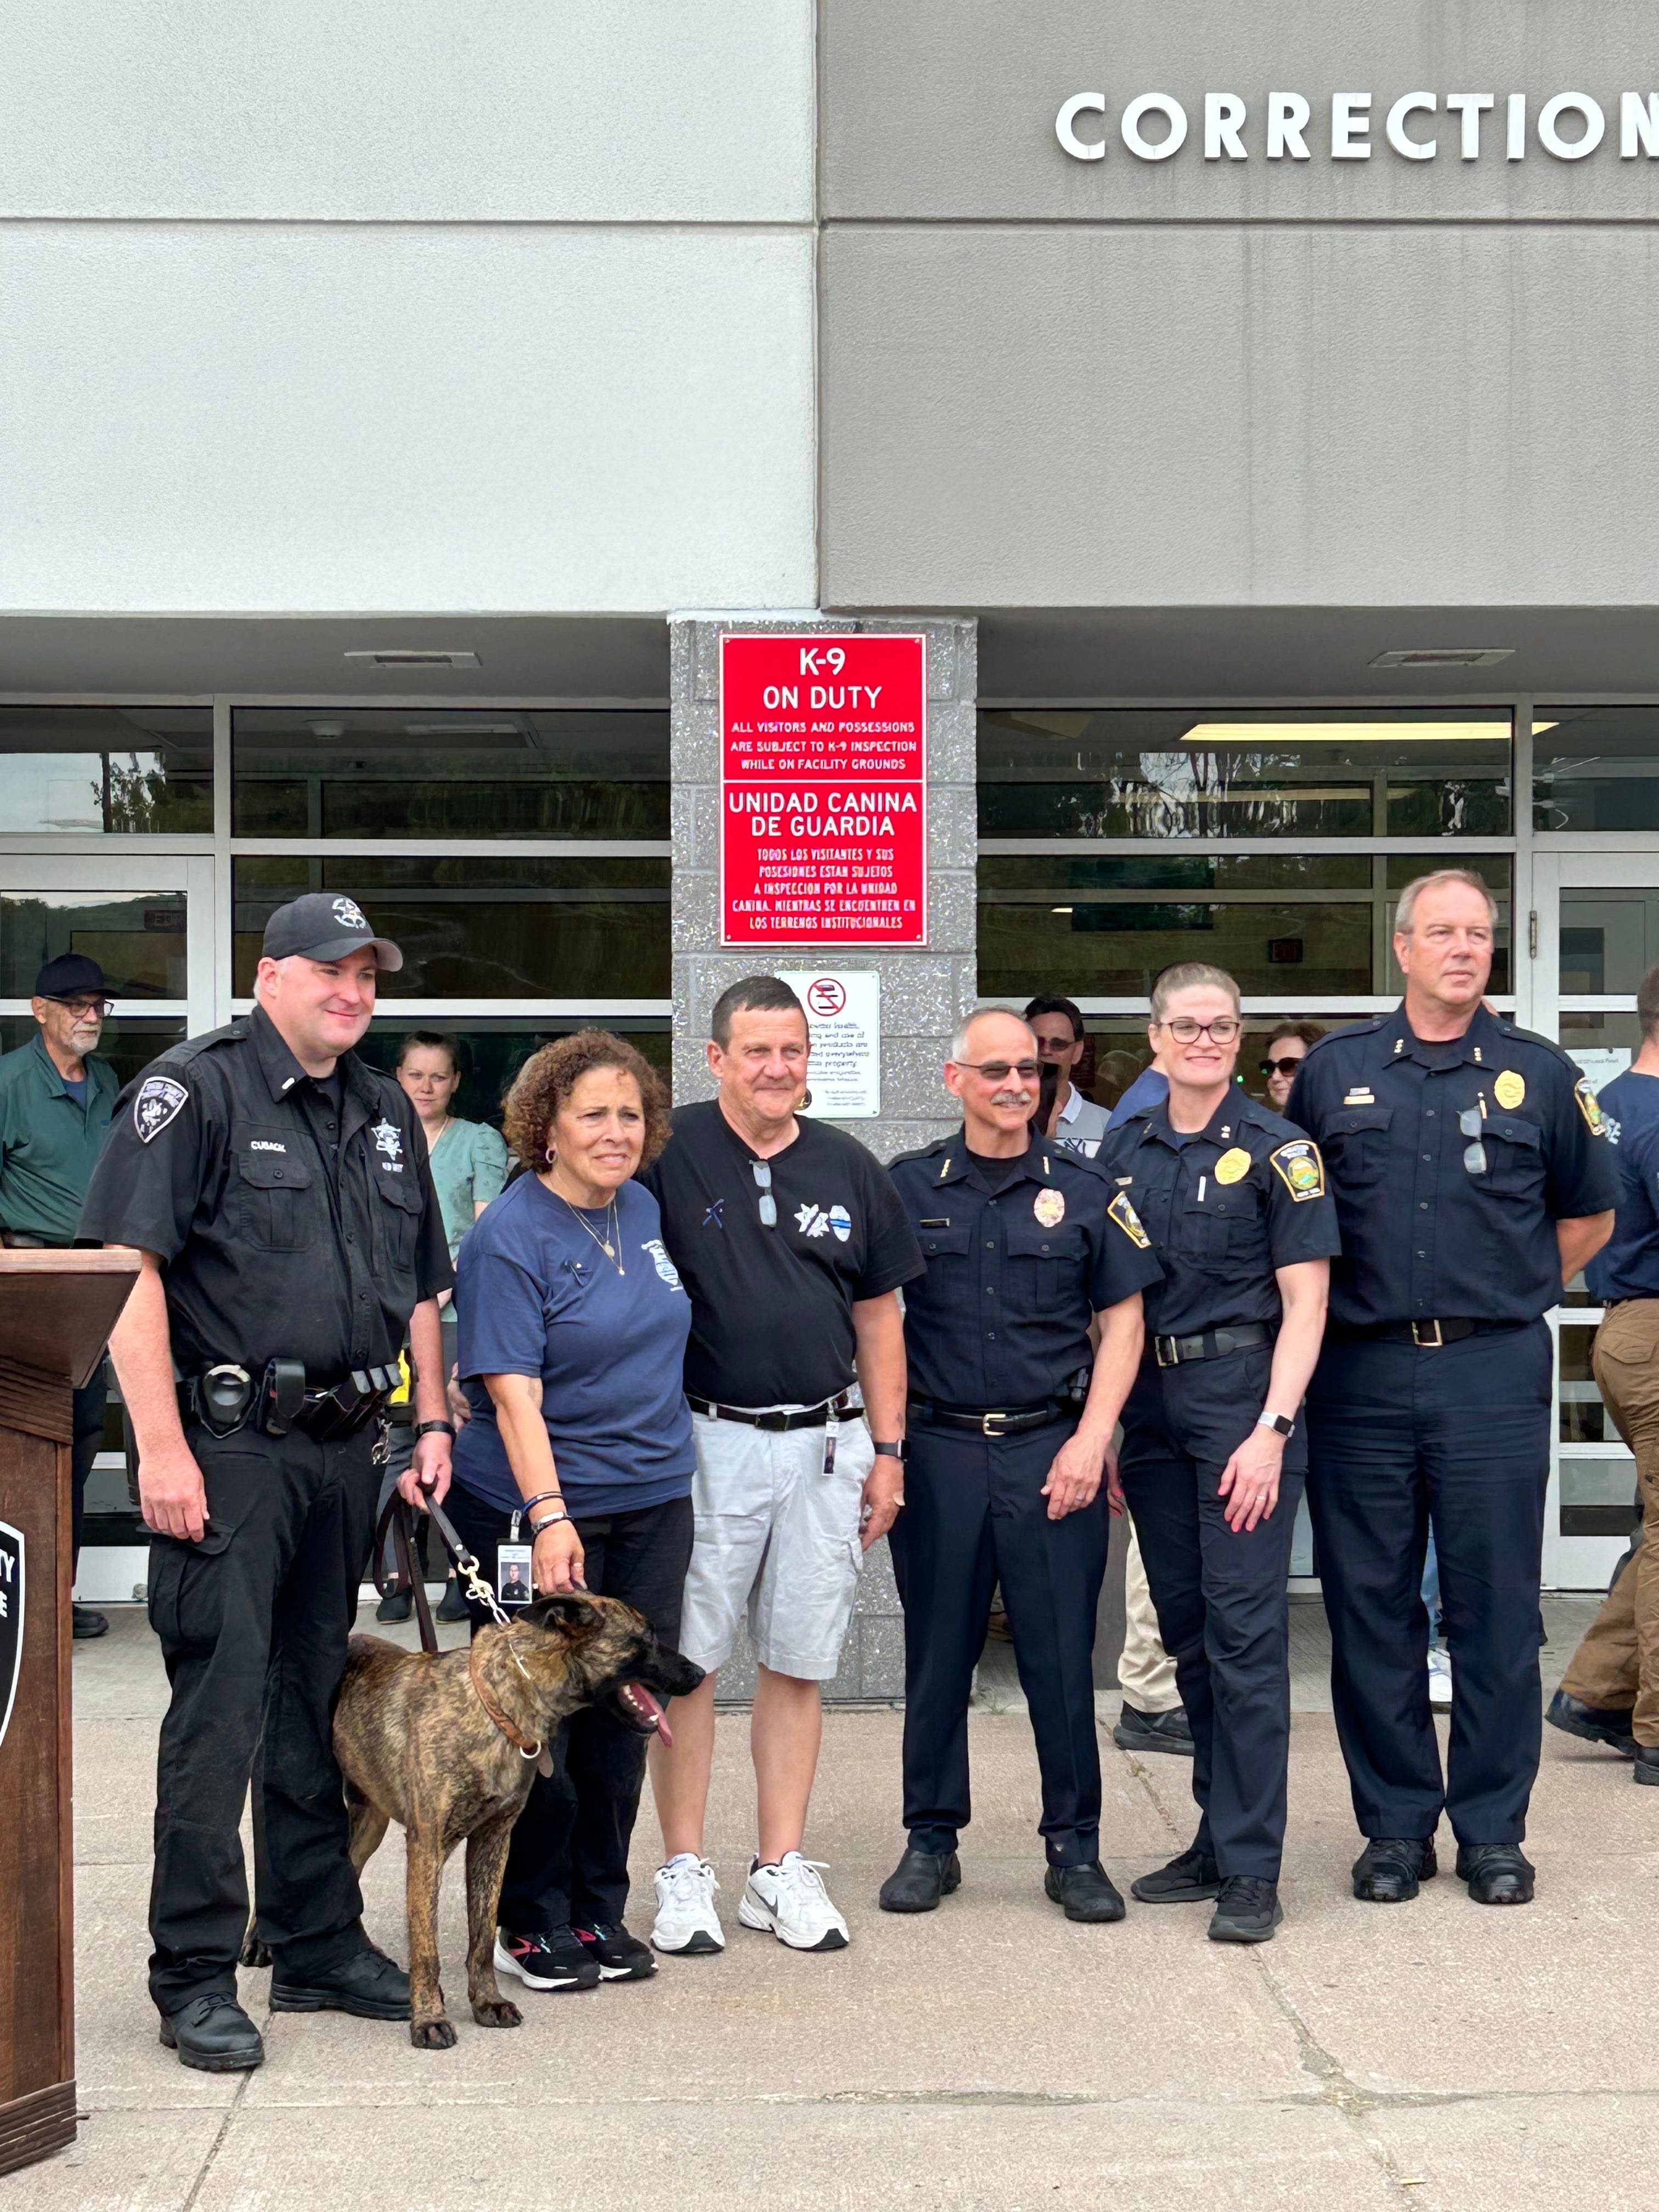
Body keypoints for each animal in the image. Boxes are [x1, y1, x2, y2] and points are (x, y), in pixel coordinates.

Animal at [334, 1593, 703, 2035]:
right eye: (646, 1637)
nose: (700, 1673)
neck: (495, 1708)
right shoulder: (426, 1849)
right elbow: (426, 1948)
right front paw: (428, 2018)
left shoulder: (492, 1843)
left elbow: (481, 1937)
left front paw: (486, 2002)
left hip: (371, 1822)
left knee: (350, 1874)